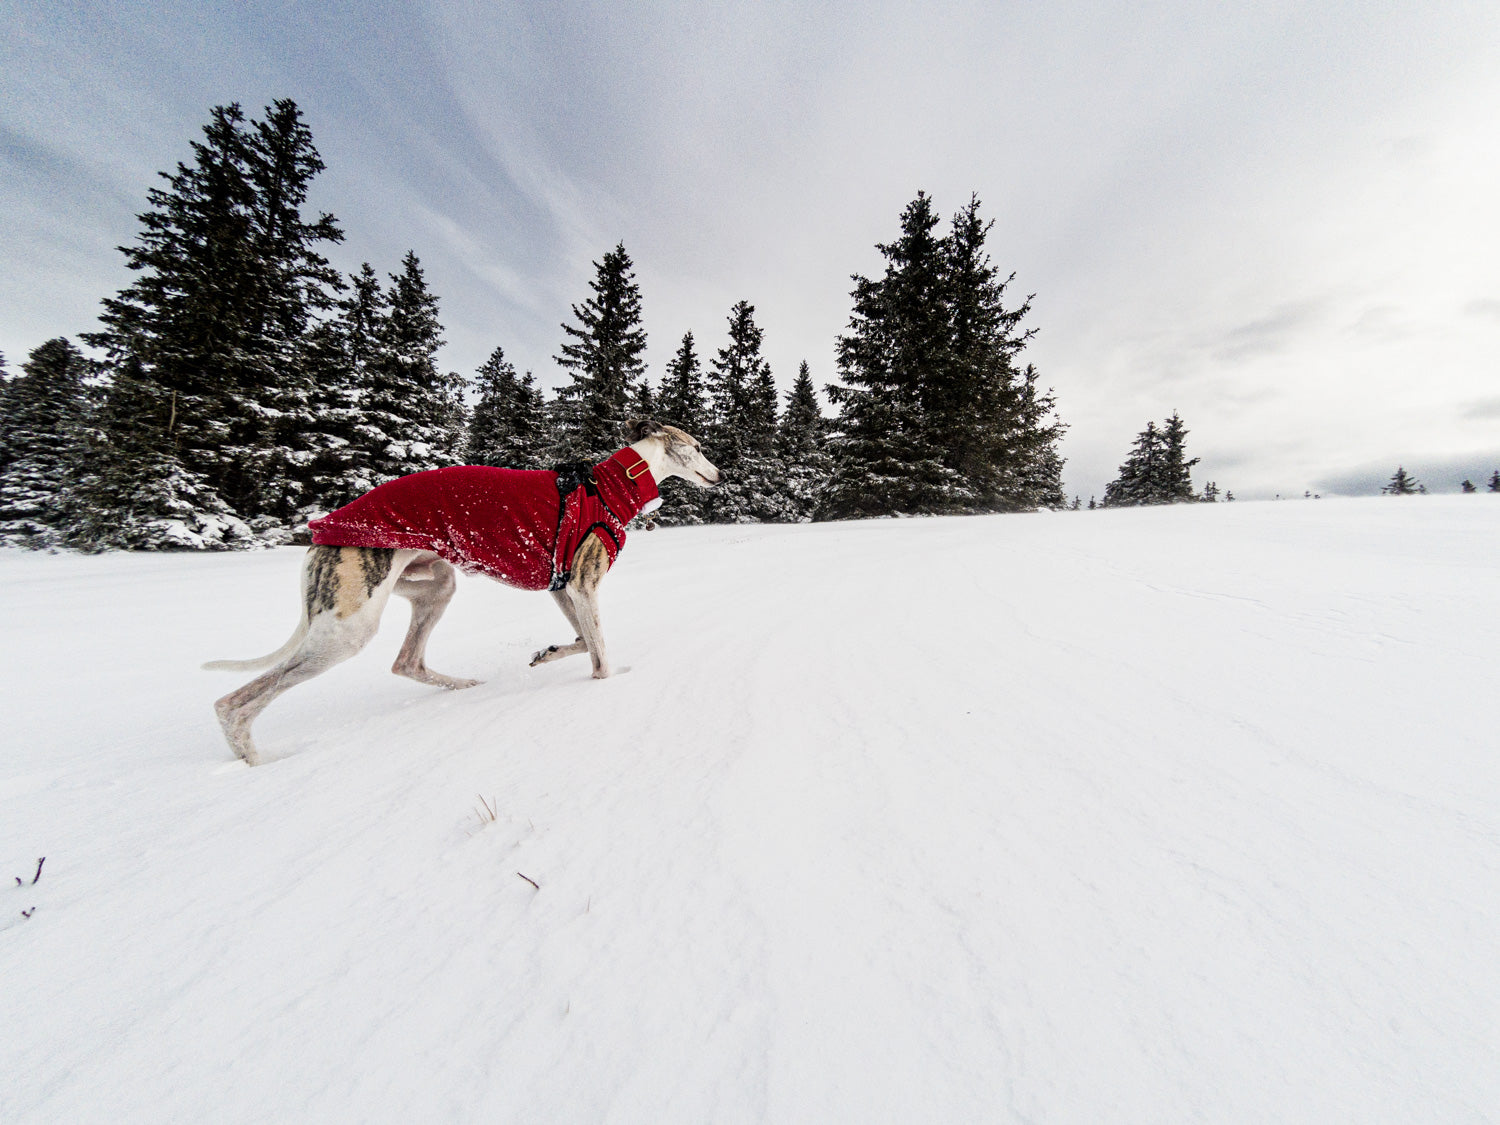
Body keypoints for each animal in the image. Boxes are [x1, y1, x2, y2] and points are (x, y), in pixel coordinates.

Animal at [208, 423, 723, 768]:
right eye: (697, 448)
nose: (719, 475)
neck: (611, 487)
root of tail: (320, 534)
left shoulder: (563, 588)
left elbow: (581, 639)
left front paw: (547, 653)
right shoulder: (582, 583)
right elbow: (600, 657)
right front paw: (604, 686)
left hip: (434, 583)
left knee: (407, 661)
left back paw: (465, 686)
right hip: (348, 627)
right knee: (235, 702)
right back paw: (257, 759)